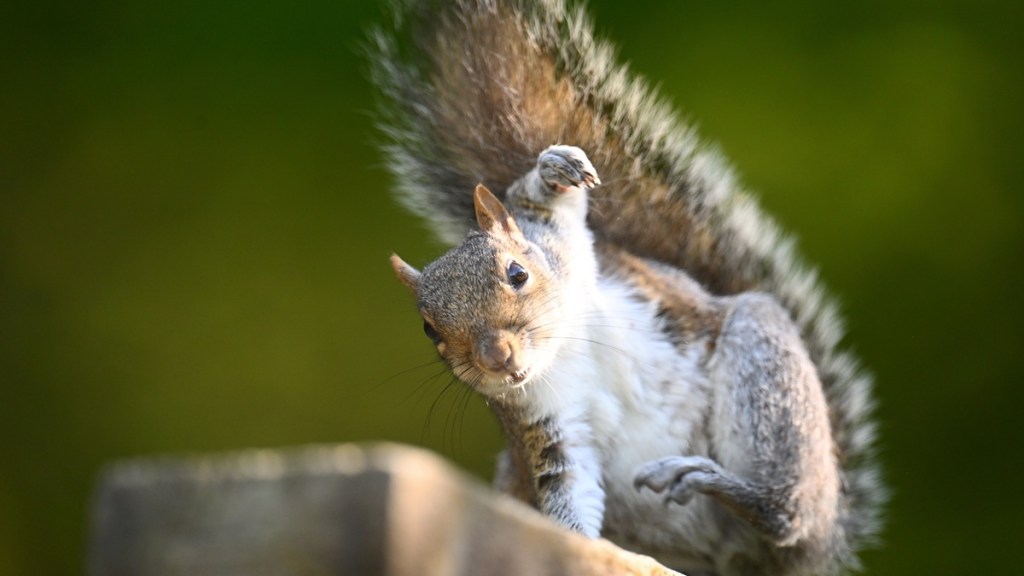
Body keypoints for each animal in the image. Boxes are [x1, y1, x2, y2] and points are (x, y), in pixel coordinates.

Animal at [371, 1, 884, 575]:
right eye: (429, 330)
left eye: (517, 273)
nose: (496, 357)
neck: (563, 352)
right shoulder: (547, 425)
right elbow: (568, 491)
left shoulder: (562, 243)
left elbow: (543, 204)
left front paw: (554, 168)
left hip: (767, 371)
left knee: (785, 515)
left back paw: (722, 484)